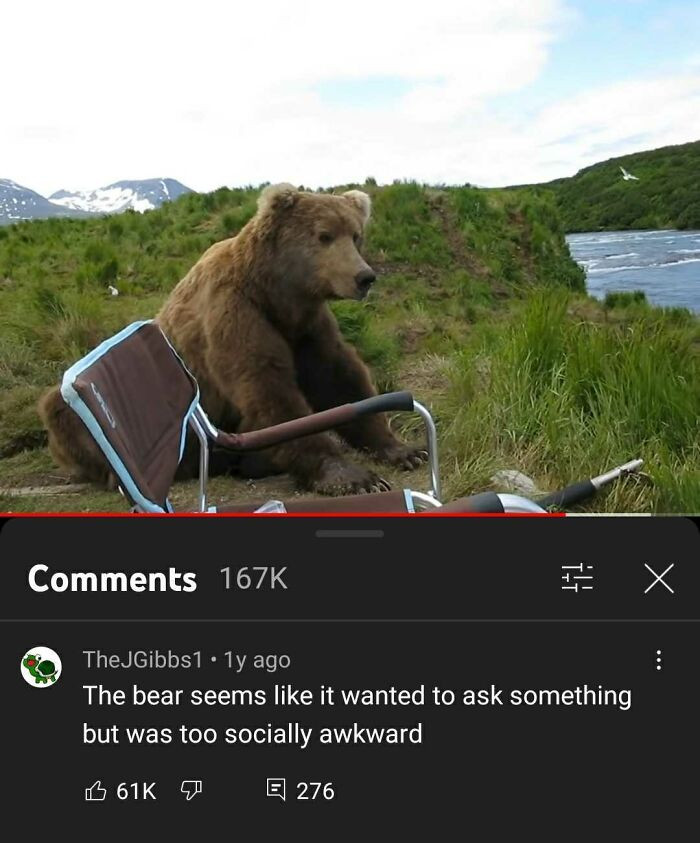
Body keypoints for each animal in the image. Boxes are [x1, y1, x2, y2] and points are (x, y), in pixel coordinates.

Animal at [39, 184, 426, 496]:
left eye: (356, 235)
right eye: (324, 235)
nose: (364, 277)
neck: (275, 293)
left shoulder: (306, 326)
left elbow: (339, 378)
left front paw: (405, 450)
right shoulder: (234, 313)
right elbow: (267, 387)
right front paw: (351, 476)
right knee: (62, 411)